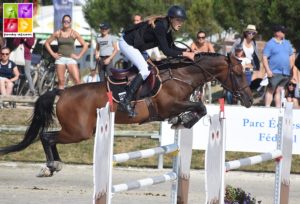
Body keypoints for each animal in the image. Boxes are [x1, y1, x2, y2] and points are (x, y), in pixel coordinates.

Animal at [0, 53, 253, 176]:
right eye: (239, 73)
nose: (250, 100)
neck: (182, 75)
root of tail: (62, 91)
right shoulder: (169, 105)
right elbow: (200, 107)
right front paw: (184, 120)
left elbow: (199, 107)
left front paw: (181, 121)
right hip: (78, 131)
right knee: (47, 137)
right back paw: (51, 165)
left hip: (78, 131)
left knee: (49, 138)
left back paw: (54, 165)